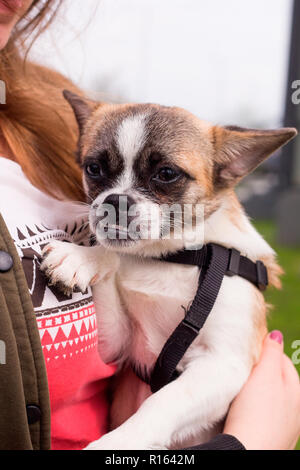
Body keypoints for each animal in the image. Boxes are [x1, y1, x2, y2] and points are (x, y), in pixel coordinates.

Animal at [41, 90, 296, 450]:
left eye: (166, 174)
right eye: (94, 168)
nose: (116, 200)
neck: (173, 256)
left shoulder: (222, 364)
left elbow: (161, 403)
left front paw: (118, 442)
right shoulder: (119, 343)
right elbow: (113, 258)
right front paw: (83, 258)